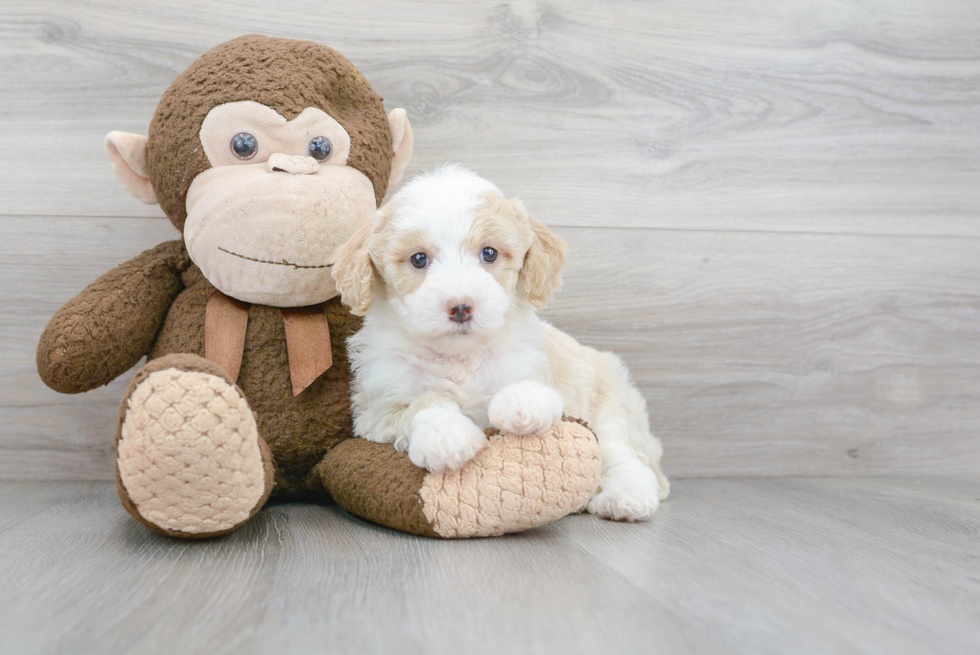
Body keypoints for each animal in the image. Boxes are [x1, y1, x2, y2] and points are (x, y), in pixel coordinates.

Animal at [334, 165, 668, 524]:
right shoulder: (377, 411)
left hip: (609, 403)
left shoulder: (534, 365)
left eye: (489, 253)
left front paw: (522, 402)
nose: (461, 306)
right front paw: (446, 434)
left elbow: (529, 388)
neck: (460, 358)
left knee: (625, 457)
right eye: (419, 259)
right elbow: (422, 402)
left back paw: (626, 497)